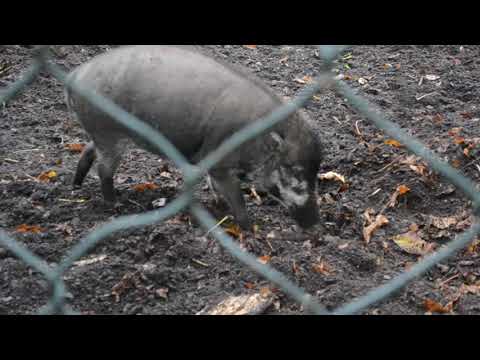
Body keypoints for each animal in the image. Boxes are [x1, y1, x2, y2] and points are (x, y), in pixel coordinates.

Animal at [65, 45, 322, 229]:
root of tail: (75, 75)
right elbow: (236, 197)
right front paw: (249, 228)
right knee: (103, 169)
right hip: (108, 133)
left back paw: (76, 186)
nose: (316, 228)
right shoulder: (218, 162)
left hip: (103, 134)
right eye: (294, 173)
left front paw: (219, 207)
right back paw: (114, 204)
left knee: (88, 151)